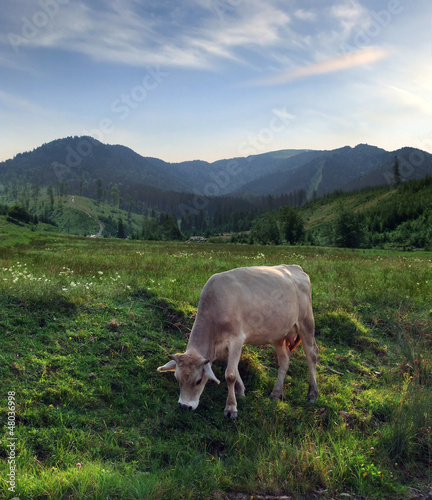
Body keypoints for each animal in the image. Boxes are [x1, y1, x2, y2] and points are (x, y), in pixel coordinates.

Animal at [159, 264, 318, 420]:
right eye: (177, 379)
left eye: (198, 380)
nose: (185, 406)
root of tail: (296, 267)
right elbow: (234, 369)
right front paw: (241, 391)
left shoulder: (236, 339)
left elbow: (230, 374)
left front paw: (231, 408)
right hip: (278, 333)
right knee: (284, 359)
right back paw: (276, 393)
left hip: (306, 323)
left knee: (311, 354)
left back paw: (312, 393)